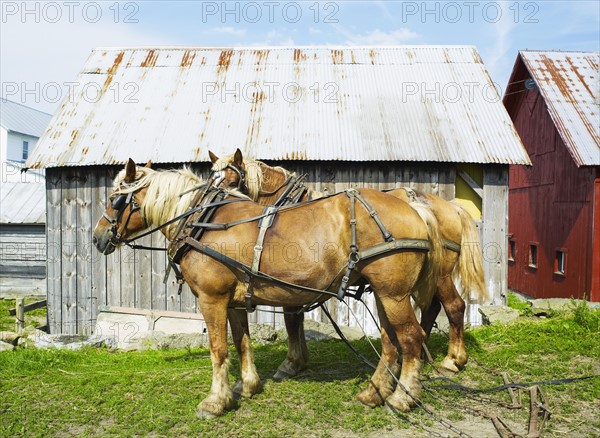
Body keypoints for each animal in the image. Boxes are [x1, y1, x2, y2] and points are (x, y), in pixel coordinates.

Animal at [95, 160, 440, 418]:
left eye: (114, 199)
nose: (97, 237)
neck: (203, 220)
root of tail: (412, 208)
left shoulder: (212, 299)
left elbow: (218, 349)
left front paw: (215, 401)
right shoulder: (233, 301)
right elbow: (241, 342)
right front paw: (247, 385)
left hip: (394, 294)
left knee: (411, 338)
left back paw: (402, 398)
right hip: (384, 293)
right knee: (390, 341)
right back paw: (374, 392)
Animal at [209, 149, 490, 382]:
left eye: (231, 182)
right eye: (213, 178)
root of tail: (450, 207)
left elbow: (291, 319)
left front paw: (292, 363)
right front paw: (299, 360)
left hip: (440, 274)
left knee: (454, 306)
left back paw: (452, 360)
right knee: (432, 308)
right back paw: (419, 355)